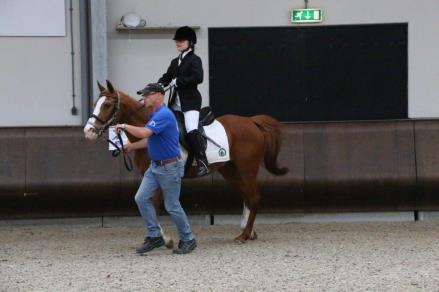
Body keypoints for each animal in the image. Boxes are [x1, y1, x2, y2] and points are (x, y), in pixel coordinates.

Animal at [84, 81, 288, 243]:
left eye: (107, 104)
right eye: (95, 104)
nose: (88, 131)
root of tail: (251, 122)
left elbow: (155, 205)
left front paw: (164, 238)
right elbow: (150, 204)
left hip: (247, 170)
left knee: (254, 197)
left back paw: (244, 235)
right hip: (231, 171)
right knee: (247, 196)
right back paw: (248, 231)